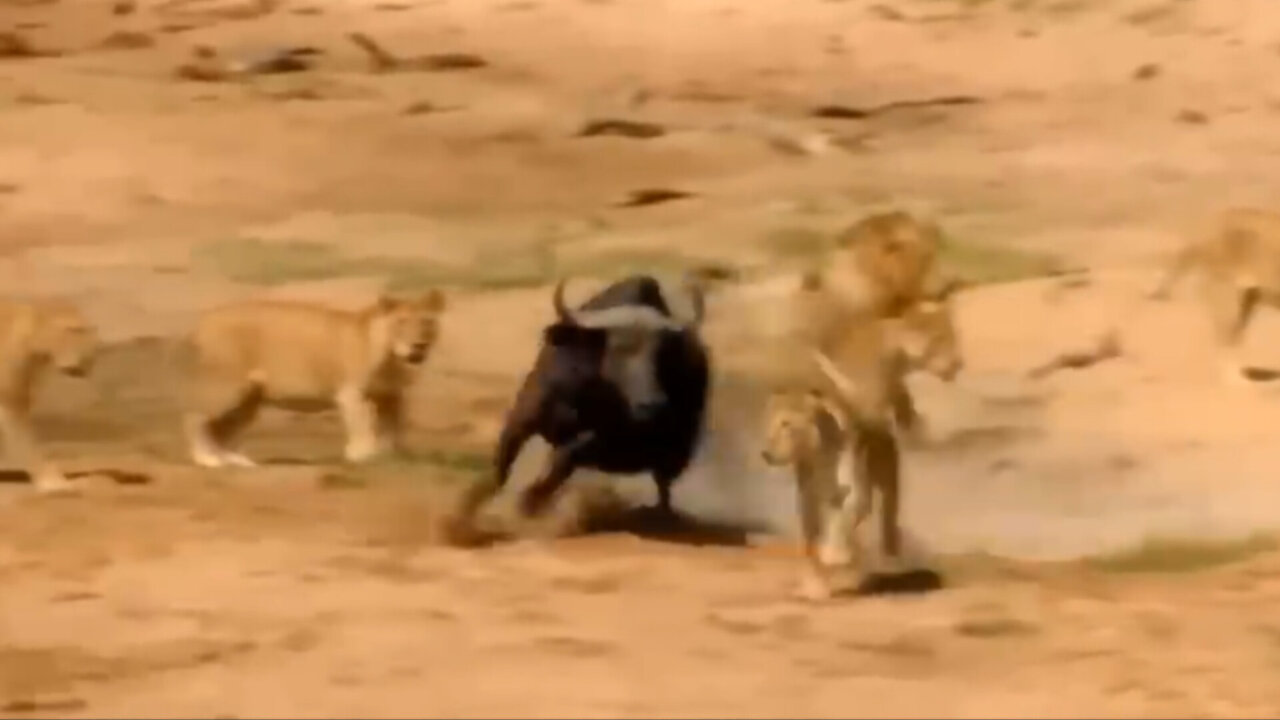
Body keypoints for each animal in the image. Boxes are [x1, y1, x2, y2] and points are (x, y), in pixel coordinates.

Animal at [0, 294, 99, 489]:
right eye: (71, 330)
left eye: (84, 331)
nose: (87, 361)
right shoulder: (10, 399)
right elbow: (25, 440)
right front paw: (54, 482)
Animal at [183, 288, 448, 468]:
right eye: (401, 322)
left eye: (427, 322)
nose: (419, 346)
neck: (393, 359)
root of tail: (204, 320)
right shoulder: (350, 393)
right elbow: (361, 425)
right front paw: (361, 455)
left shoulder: (393, 396)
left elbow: (395, 428)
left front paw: (396, 458)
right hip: (225, 386)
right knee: (196, 418)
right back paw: (207, 459)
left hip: (250, 398)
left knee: (224, 428)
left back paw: (237, 461)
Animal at [453, 271, 716, 525]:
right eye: (619, 349)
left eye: (663, 353)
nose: (654, 405)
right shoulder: (524, 417)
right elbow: (502, 462)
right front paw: (469, 511)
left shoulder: (603, 441)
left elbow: (566, 456)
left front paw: (529, 501)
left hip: (677, 452)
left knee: (664, 487)